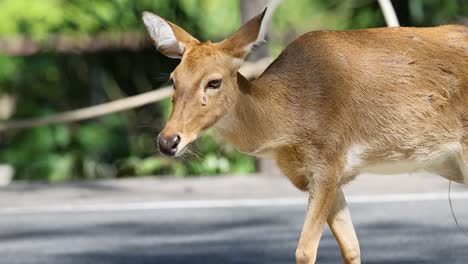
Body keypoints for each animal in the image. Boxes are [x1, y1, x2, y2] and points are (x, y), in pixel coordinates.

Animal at [143, 4, 468, 264]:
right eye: (173, 79)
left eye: (214, 82)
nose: (167, 141)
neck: (288, 121)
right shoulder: (329, 175)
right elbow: (351, 247)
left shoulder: (328, 160)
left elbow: (304, 251)